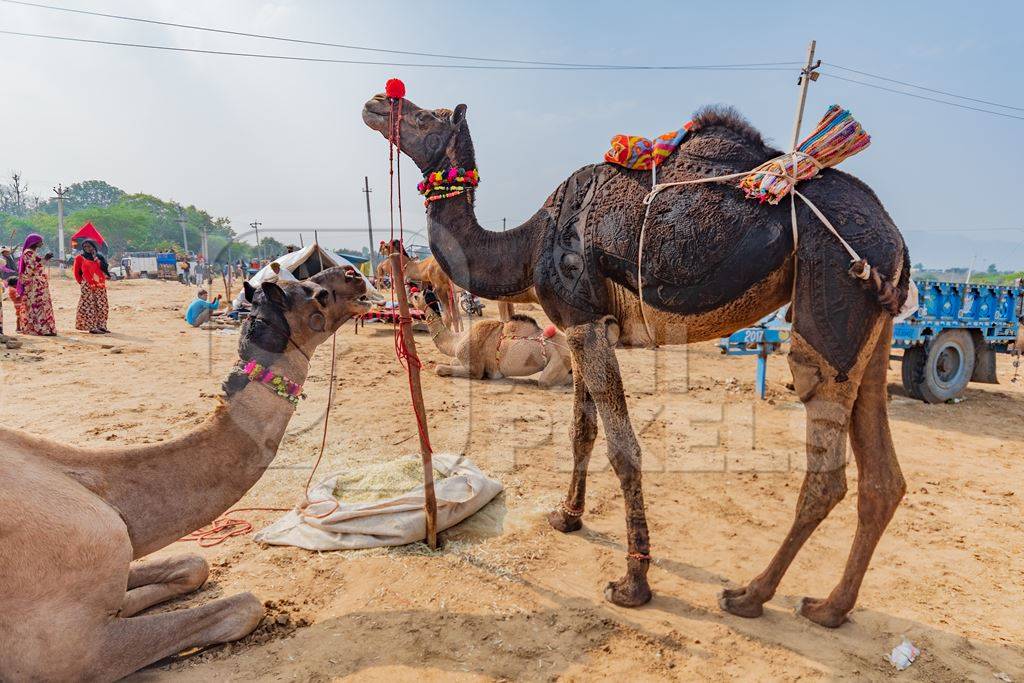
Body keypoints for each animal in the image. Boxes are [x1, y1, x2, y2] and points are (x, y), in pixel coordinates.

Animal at [0, 268, 376, 683]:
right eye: (317, 293)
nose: (354, 275)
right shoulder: (69, 651)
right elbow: (245, 606)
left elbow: (194, 564)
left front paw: (127, 603)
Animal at [409, 290, 573, 387]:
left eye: (416, 296)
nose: (410, 295)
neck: (456, 341)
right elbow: (453, 361)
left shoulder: (475, 368)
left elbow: (440, 368)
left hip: (560, 359)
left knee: (546, 381)